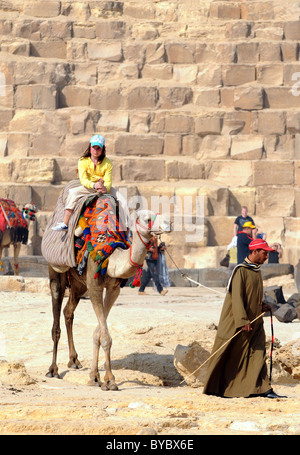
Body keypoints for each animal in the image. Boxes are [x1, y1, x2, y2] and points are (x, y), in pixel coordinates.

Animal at [44, 208, 171, 390]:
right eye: (147, 219)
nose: (168, 224)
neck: (111, 259)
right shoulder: (94, 286)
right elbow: (105, 337)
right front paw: (110, 381)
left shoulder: (113, 289)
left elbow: (98, 332)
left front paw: (95, 376)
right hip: (56, 270)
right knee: (56, 318)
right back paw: (53, 370)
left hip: (78, 284)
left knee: (68, 311)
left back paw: (74, 361)